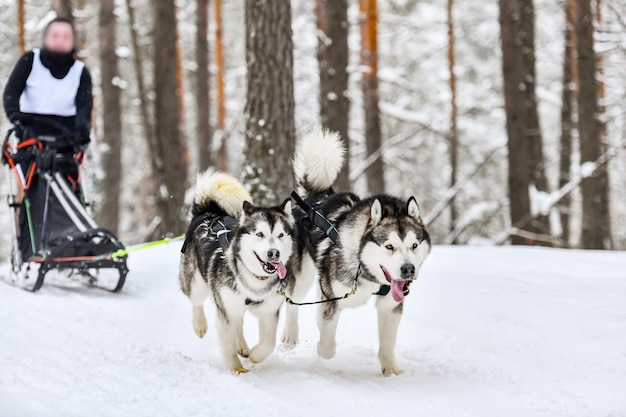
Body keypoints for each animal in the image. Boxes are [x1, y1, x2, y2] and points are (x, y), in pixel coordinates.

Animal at [178, 171, 300, 372]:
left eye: (281, 235)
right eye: (259, 234)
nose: (274, 253)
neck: (255, 280)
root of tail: (208, 214)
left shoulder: (269, 310)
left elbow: (268, 343)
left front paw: (255, 355)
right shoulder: (225, 308)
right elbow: (227, 343)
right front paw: (236, 369)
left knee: (239, 322)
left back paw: (242, 345)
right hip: (197, 284)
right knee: (196, 301)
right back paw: (200, 325)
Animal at [288, 131, 428, 376]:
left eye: (414, 245)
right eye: (389, 246)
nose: (408, 270)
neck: (366, 271)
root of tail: (313, 198)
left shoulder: (390, 305)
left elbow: (387, 343)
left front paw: (391, 370)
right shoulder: (333, 294)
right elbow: (327, 341)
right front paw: (323, 350)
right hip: (302, 275)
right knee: (292, 299)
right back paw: (289, 336)